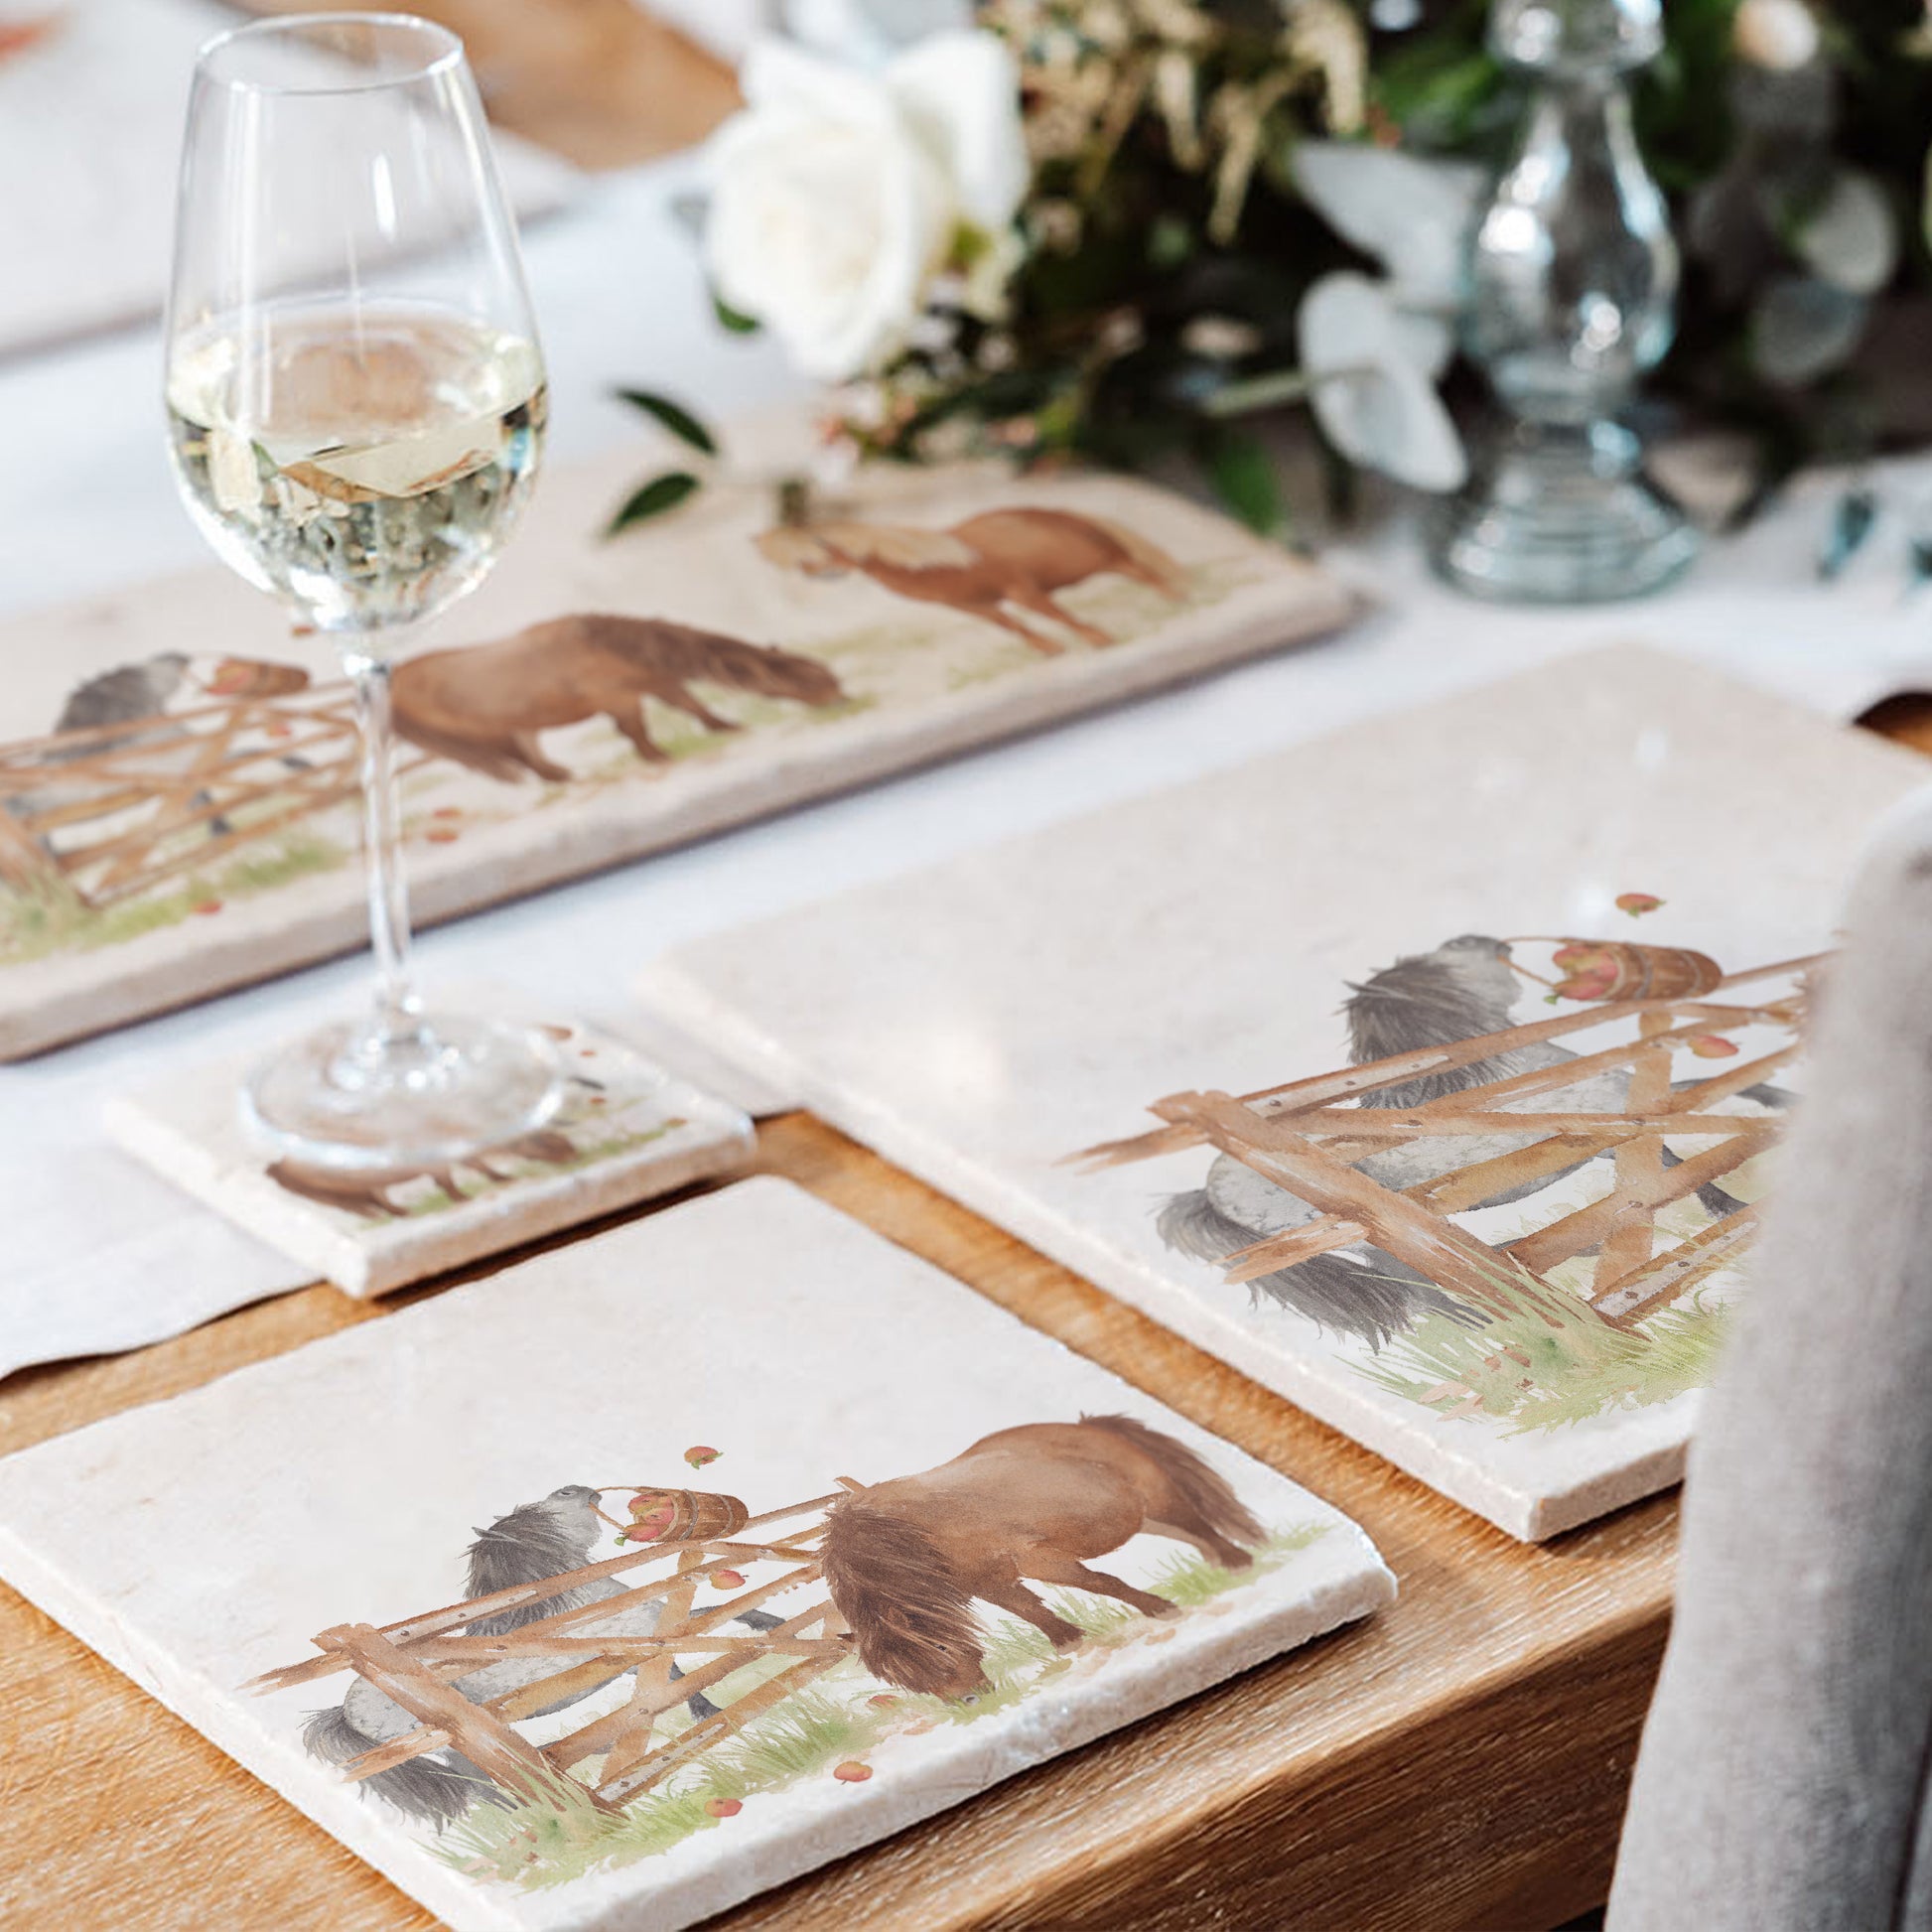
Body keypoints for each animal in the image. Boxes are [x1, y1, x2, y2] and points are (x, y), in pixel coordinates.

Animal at [301, 1483, 776, 1816]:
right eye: (537, 1518)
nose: (574, 1487)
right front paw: (713, 1707)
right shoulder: (647, 1636)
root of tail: (346, 1709)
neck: (572, 1605)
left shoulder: (630, 1654)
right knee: (487, 1788)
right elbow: (690, 1652)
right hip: (452, 1747)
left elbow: (670, 1675)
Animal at [388, 607, 842, 780]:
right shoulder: (616, 697)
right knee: (517, 757)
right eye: (794, 682)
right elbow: (637, 730)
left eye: (825, 675)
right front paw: (659, 758)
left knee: (528, 750)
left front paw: (727, 727)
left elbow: (693, 705)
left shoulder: (658, 682)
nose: (841, 697)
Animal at [757, 505, 1189, 656]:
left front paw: (1100, 640)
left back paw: (1179, 599)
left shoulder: (1022, 589)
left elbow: (1057, 615)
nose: (809, 572)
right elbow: (1013, 626)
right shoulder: (977, 606)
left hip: (1110, 559)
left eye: (822, 549)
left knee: (1143, 571)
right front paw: (1050, 650)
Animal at [819, 1414, 1259, 1700]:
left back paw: (1239, 1564)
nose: (971, 1703)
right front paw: (1069, 1642)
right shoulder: (990, 1583)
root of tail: (1087, 1425)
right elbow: (1029, 1610)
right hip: (1145, 1517)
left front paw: (1159, 1609)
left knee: (1198, 1525)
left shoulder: (1037, 1559)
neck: (911, 1533)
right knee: (1194, 1538)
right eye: (903, 1680)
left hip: (1159, 1498)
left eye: (940, 1649)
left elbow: (1101, 1583)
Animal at [1151, 934, 1785, 1344]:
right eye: (1445, 958)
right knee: (1422, 1288)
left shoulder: (1612, 1127)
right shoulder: (1612, 1124)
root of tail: (1209, 1188)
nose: (1483, 937)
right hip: (1371, 1234)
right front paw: (1735, 1200)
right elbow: (1680, 1150)